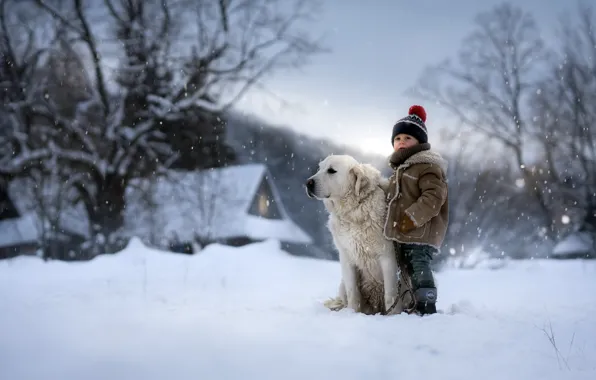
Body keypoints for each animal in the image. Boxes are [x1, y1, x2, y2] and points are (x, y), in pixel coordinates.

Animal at [304, 154, 408, 314]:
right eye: (319, 168)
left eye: (331, 170)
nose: (307, 183)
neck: (354, 209)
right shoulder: (347, 257)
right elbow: (353, 292)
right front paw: (352, 313)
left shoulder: (388, 256)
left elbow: (391, 295)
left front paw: (394, 316)